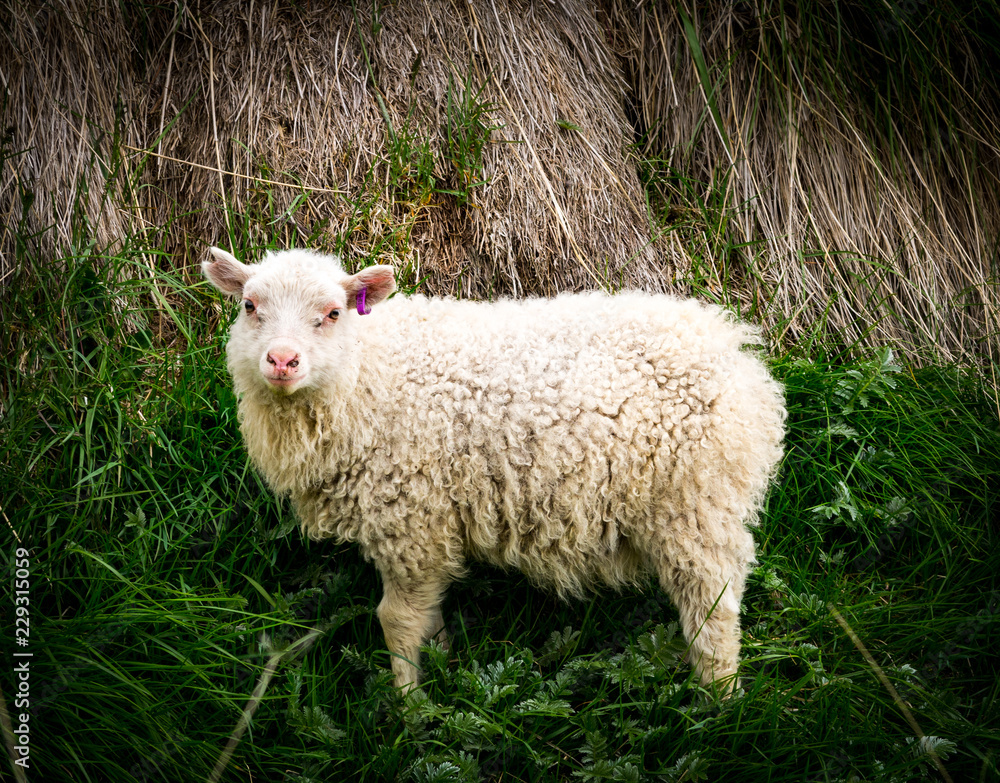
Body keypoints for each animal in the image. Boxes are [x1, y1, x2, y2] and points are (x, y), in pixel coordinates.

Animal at [203, 246, 786, 694]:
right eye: (250, 305)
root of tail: (741, 359)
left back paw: (719, 704)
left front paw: (410, 710)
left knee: (713, 608)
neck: (371, 373)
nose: (282, 360)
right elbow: (426, 617)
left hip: (692, 503)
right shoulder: (425, 530)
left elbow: (396, 620)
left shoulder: (409, 521)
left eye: (331, 313)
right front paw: (437, 667)